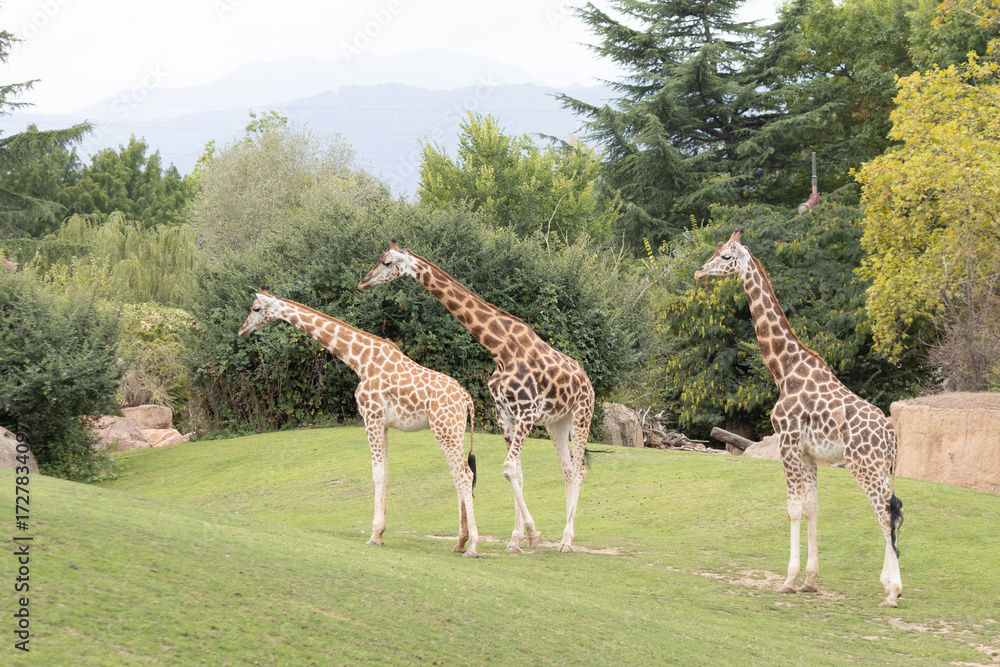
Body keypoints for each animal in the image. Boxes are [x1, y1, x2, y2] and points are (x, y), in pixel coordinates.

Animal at [237, 287, 480, 557]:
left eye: (256, 308)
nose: (242, 330)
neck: (359, 360)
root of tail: (467, 399)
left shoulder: (370, 416)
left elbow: (376, 473)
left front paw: (375, 535)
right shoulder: (383, 424)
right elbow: (385, 472)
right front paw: (380, 533)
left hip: (444, 430)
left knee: (464, 475)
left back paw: (472, 546)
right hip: (452, 431)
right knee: (458, 476)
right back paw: (459, 542)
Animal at [359, 239, 596, 553]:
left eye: (386, 263)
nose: (363, 282)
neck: (500, 348)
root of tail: (588, 382)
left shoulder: (526, 413)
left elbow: (508, 468)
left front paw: (531, 534)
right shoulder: (505, 416)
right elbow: (517, 472)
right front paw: (516, 539)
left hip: (582, 415)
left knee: (579, 470)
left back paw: (567, 540)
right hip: (557, 423)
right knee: (568, 471)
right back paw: (564, 537)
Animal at [695, 228, 904, 607]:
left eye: (726, 257)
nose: (699, 272)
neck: (783, 370)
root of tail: (892, 436)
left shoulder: (788, 445)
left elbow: (792, 509)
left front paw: (788, 580)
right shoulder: (808, 454)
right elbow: (812, 509)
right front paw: (809, 580)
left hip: (864, 466)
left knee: (885, 513)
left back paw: (893, 592)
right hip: (883, 468)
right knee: (893, 510)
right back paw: (887, 585)